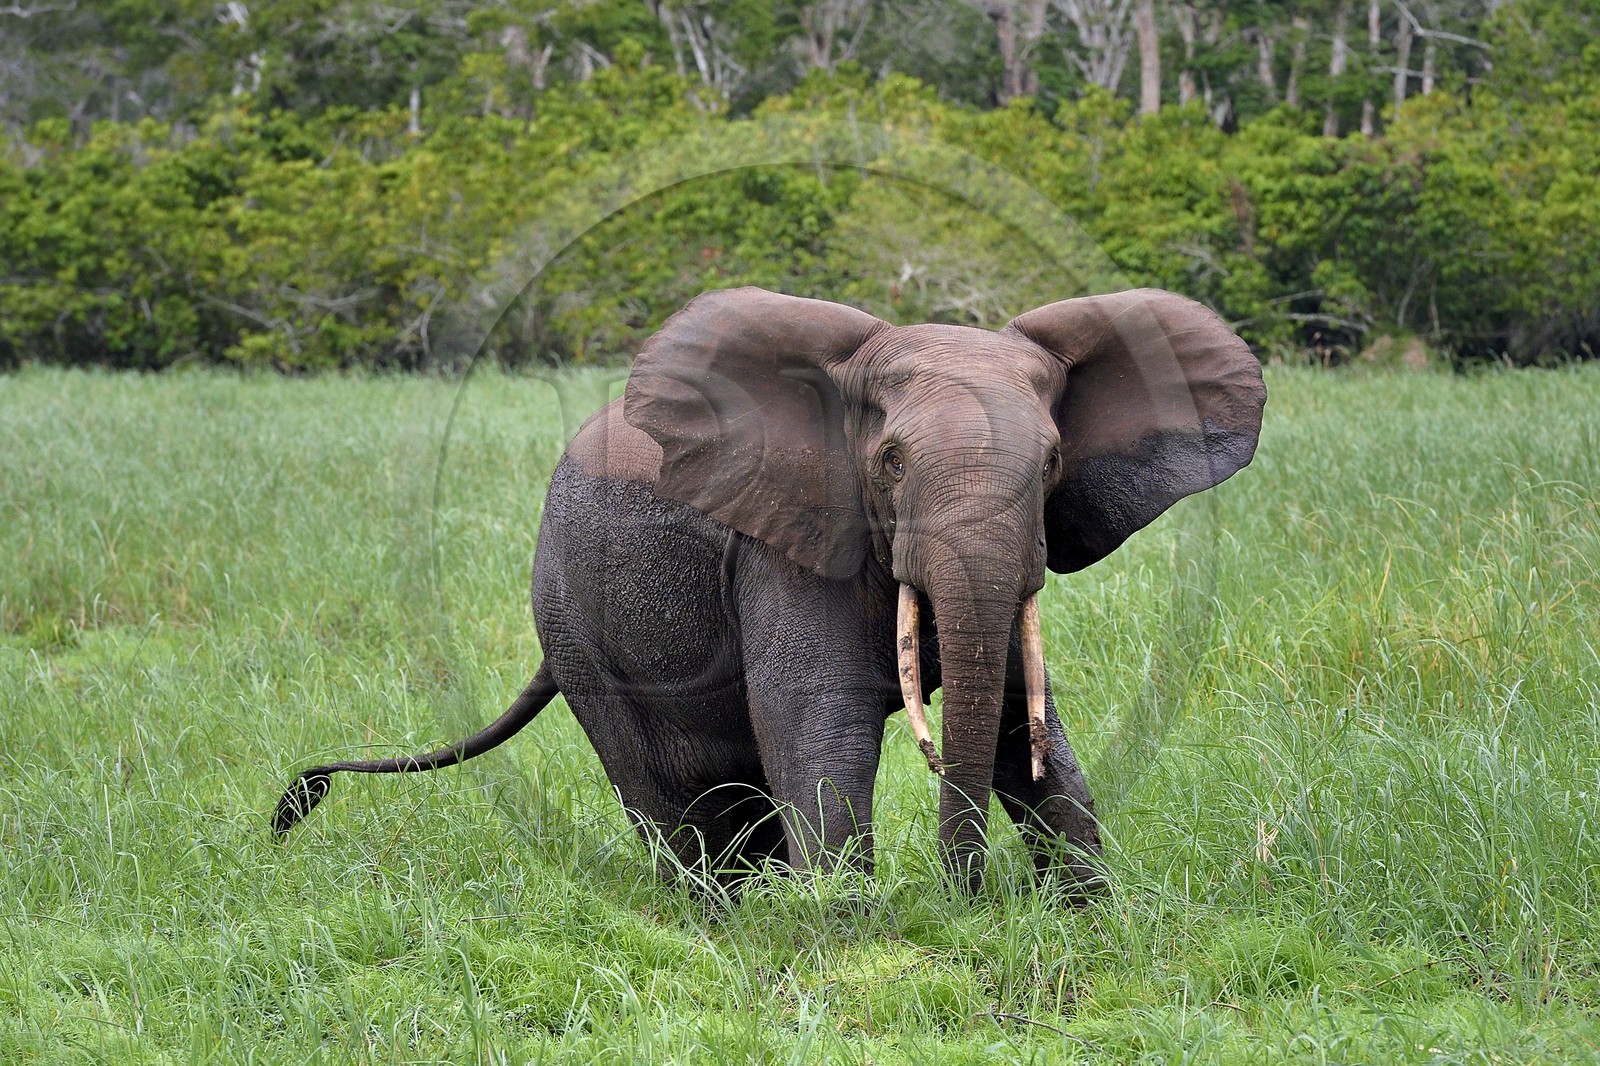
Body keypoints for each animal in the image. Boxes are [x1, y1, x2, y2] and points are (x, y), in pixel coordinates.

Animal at [273, 286, 1266, 893]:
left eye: (1053, 462)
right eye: (890, 461)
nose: (970, 898)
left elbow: (1030, 718)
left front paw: (1091, 918)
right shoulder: (783, 544)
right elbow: (820, 721)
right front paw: (851, 930)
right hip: (571, 618)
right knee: (669, 804)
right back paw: (715, 918)